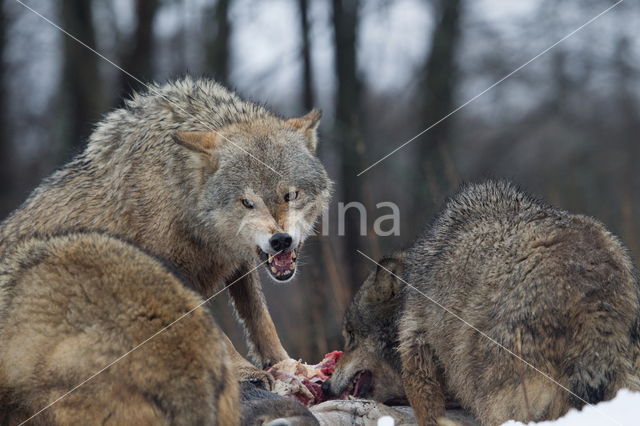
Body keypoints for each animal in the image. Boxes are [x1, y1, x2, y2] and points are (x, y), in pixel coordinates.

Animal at [0, 76, 332, 382]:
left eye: (291, 195)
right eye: (247, 203)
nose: (281, 241)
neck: (178, 194)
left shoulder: (237, 262)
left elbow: (261, 319)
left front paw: (286, 363)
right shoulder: (175, 274)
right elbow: (218, 333)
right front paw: (244, 370)